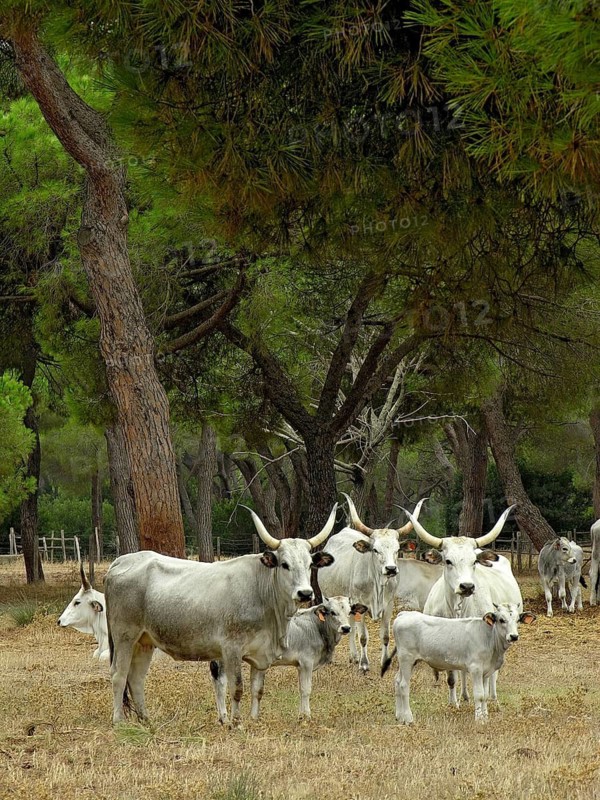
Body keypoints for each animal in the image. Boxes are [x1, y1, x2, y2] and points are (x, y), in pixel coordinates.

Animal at [105, 505, 337, 726]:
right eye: (284, 564)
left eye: (310, 564)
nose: (305, 593)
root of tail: (122, 561)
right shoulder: (232, 649)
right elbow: (237, 688)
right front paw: (236, 722)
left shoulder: (258, 653)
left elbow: (255, 689)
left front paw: (248, 719)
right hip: (125, 636)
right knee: (119, 675)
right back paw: (118, 720)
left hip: (144, 641)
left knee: (136, 678)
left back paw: (145, 718)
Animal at [216, 596, 368, 721]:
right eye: (332, 612)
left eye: (349, 612)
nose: (346, 628)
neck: (316, 627)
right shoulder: (307, 663)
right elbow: (306, 689)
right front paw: (307, 716)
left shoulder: (299, 666)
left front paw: (301, 714)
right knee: (221, 686)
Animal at [317, 495, 425, 672]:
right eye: (375, 549)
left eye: (397, 549)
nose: (391, 569)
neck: (377, 585)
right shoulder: (360, 604)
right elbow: (363, 637)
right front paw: (364, 664)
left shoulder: (388, 605)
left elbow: (385, 636)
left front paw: (384, 661)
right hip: (326, 596)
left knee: (351, 626)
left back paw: (353, 656)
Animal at [381, 604, 536, 723]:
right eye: (502, 620)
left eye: (518, 620)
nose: (514, 636)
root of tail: (404, 614)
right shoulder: (475, 669)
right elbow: (479, 694)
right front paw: (479, 719)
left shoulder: (486, 672)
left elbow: (485, 695)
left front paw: (485, 717)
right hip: (406, 658)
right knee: (403, 685)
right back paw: (408, 718)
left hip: (407, 661)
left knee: (397, 681)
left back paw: (399, 716)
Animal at [400, 503, 521, 706]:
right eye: (448, 561)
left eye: (474, 562)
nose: (467, 586)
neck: (456, 609)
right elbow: (452, 676)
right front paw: (453, 702)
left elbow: (486, 676)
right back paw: (464, 695)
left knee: (493, 675)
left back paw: (493, 696)